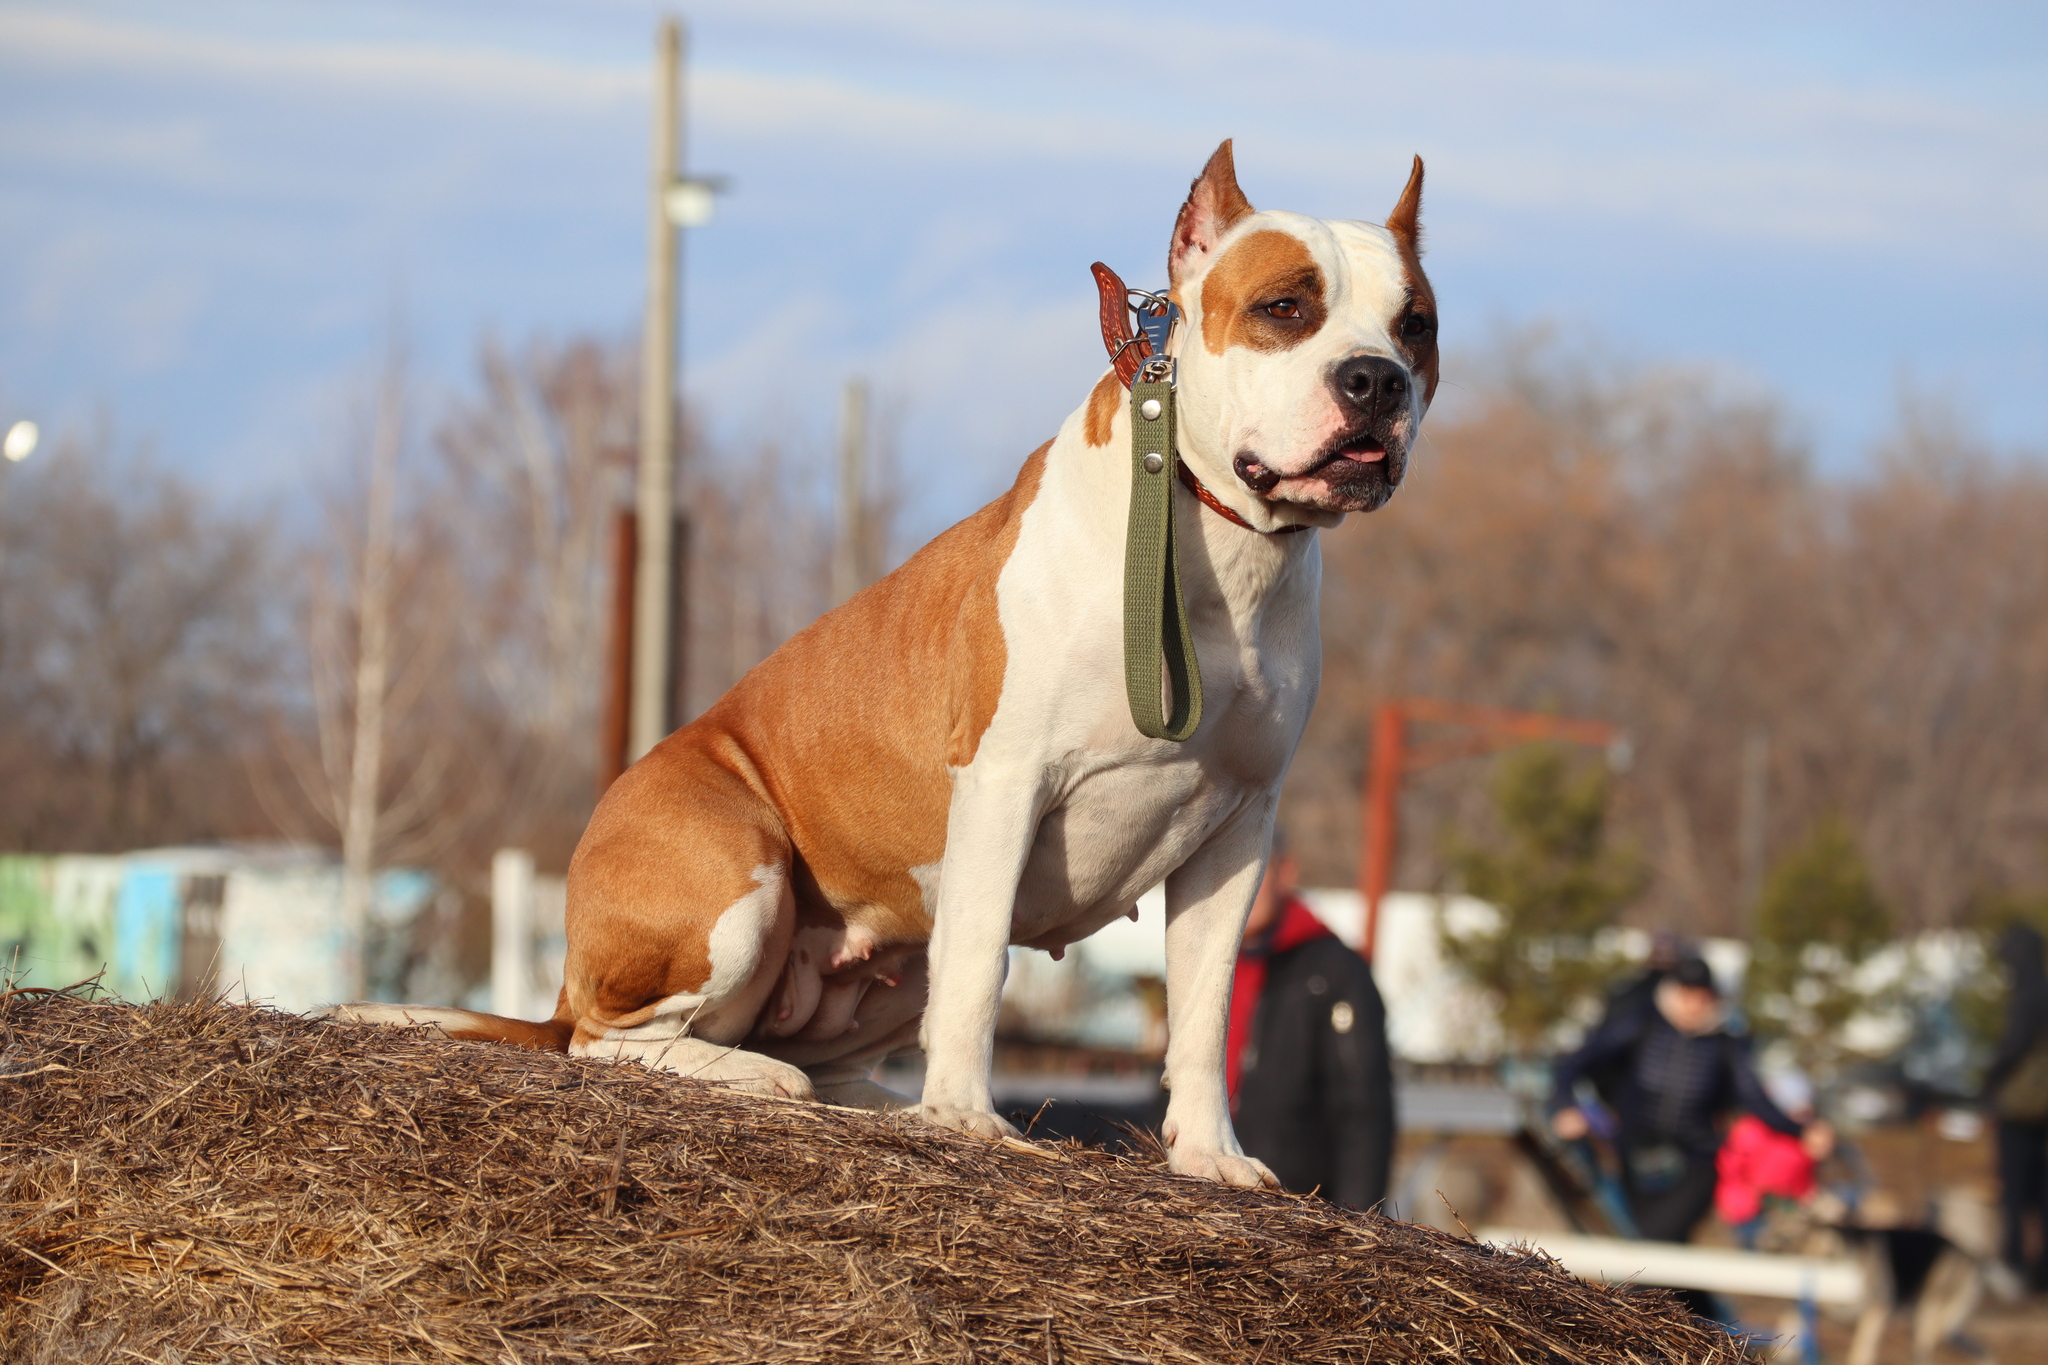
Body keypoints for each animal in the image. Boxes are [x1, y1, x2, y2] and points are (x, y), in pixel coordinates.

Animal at [348, 139, 1441, 1186]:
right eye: (1283, 307)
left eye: (1415, 326)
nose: (1374, 380)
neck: (1217, 543)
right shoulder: (1006, 784)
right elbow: (976, 980)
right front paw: (963, 1122)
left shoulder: (1237, 830)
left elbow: (1203, 1010)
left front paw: (1208, 1156)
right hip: (736, 878)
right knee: (611, 1041)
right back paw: (763, 1079)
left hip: (898, 930)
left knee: (828, 1043)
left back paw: (864, 1101)